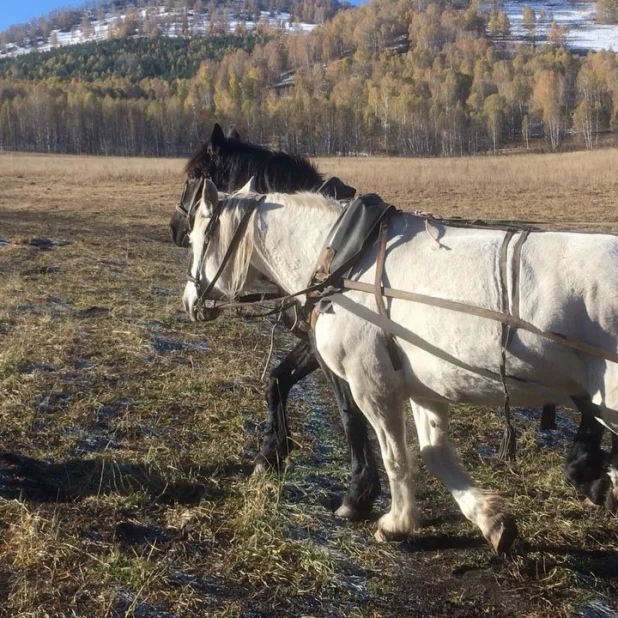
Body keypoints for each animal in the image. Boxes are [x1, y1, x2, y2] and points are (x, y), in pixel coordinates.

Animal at [171, 122, 378, 516]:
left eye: (193, 176)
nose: (175, 228)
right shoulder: (311, 343)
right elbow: (277, 381)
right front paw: (270, 455)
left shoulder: (329, 349)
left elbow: (349, 411)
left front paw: (360, 492)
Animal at [182, 180, 616, 552]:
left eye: (197, 238)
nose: (189, 301)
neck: (347, 264)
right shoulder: (427, 387)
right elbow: (434, 454)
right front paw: (490, 521)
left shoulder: (372, 385)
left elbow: (392, 453)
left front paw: (393, 520)